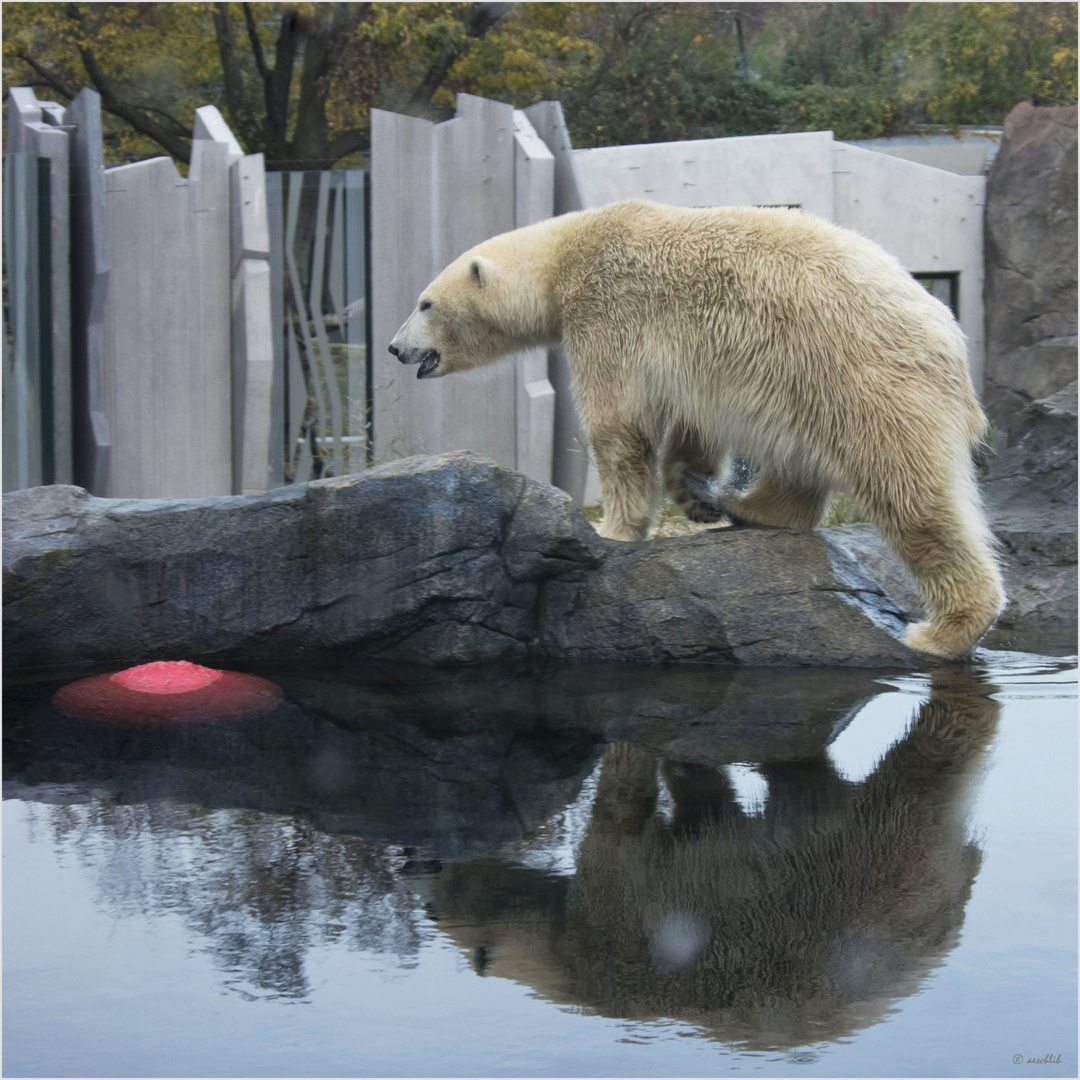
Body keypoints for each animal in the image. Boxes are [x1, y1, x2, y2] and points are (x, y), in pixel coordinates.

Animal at [388, 200, 1002, 656]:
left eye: (425, 303)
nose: (395, 347)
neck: (568, 252)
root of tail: (950, 339)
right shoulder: (693, 361)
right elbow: (693, 423)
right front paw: (692, 492)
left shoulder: (607, 310)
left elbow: (616, 421)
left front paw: (613, 529)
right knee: (800, 461)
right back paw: (750, 507)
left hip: (864, 376)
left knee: (909, 491)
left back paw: (941, 630)